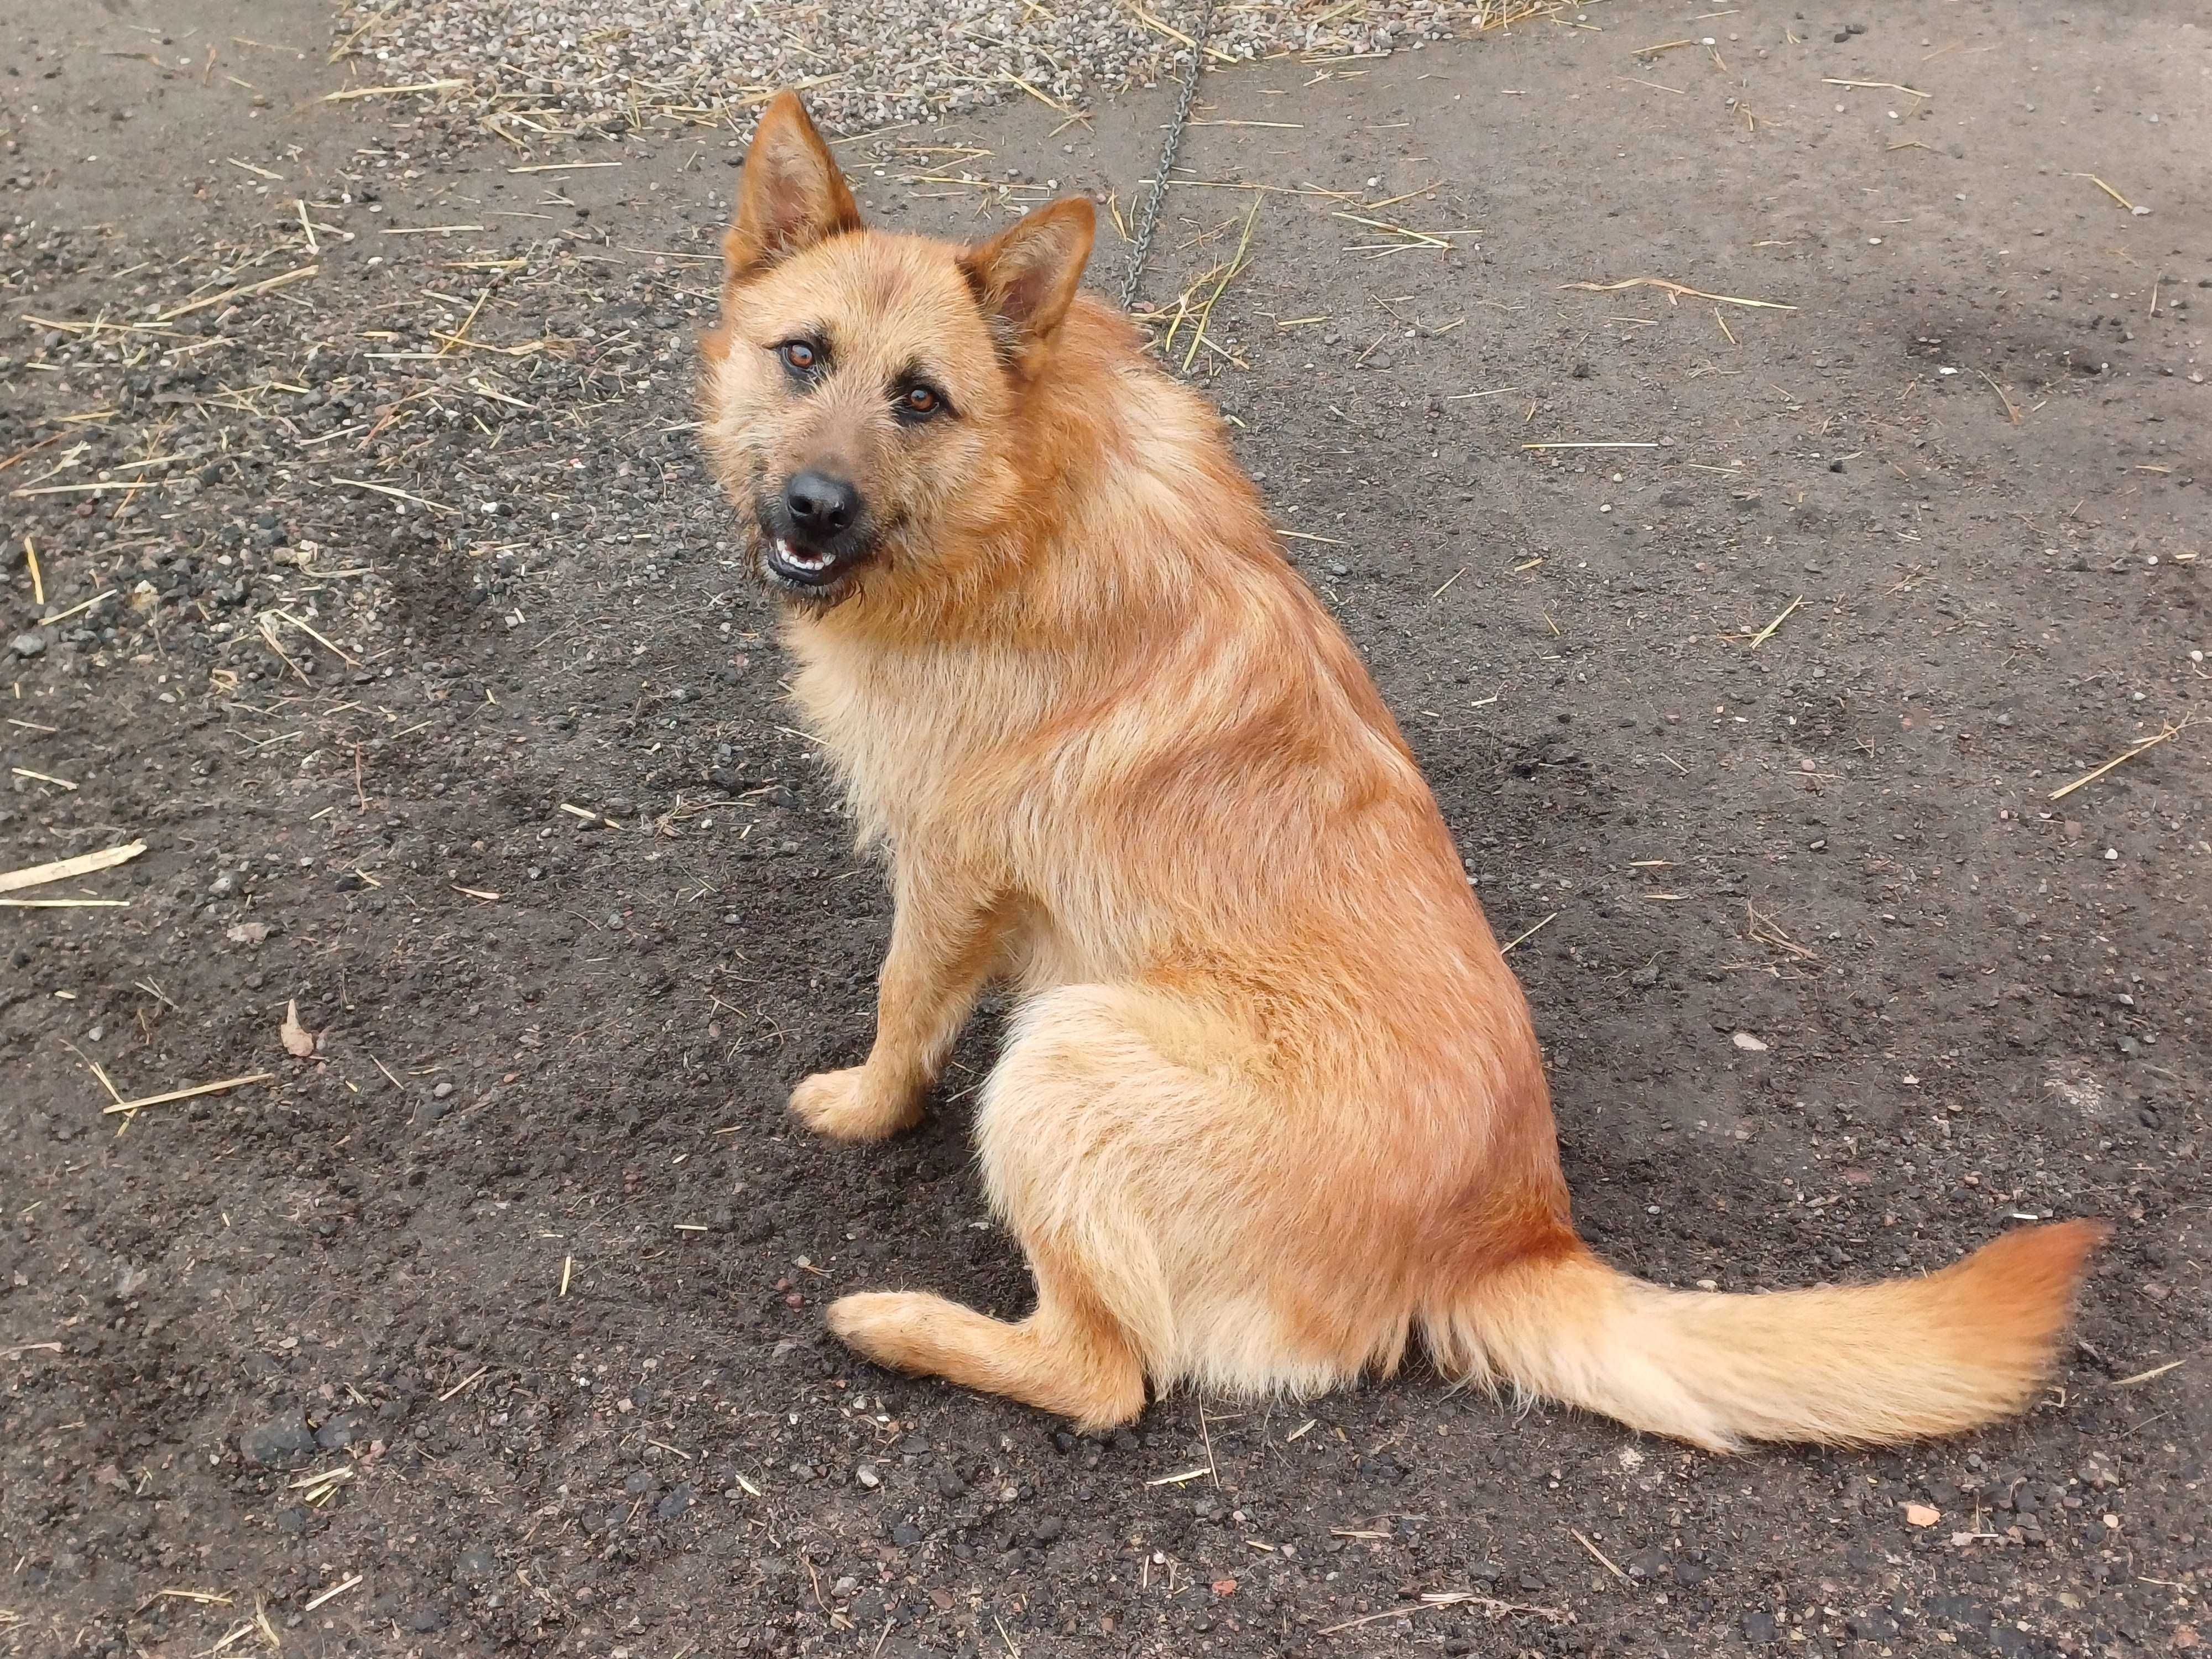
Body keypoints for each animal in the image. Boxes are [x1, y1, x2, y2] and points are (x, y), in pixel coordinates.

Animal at [695, 91, 2106, 1451]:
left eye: (920, 398)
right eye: (802, 356)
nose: (810, 507)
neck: (1021, 498)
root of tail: (1509, 1235)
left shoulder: (947, 870)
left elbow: (901, 1010)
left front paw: (863, 1108)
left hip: (1065, 1054)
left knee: (1103, 1376)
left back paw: (896, 1324)